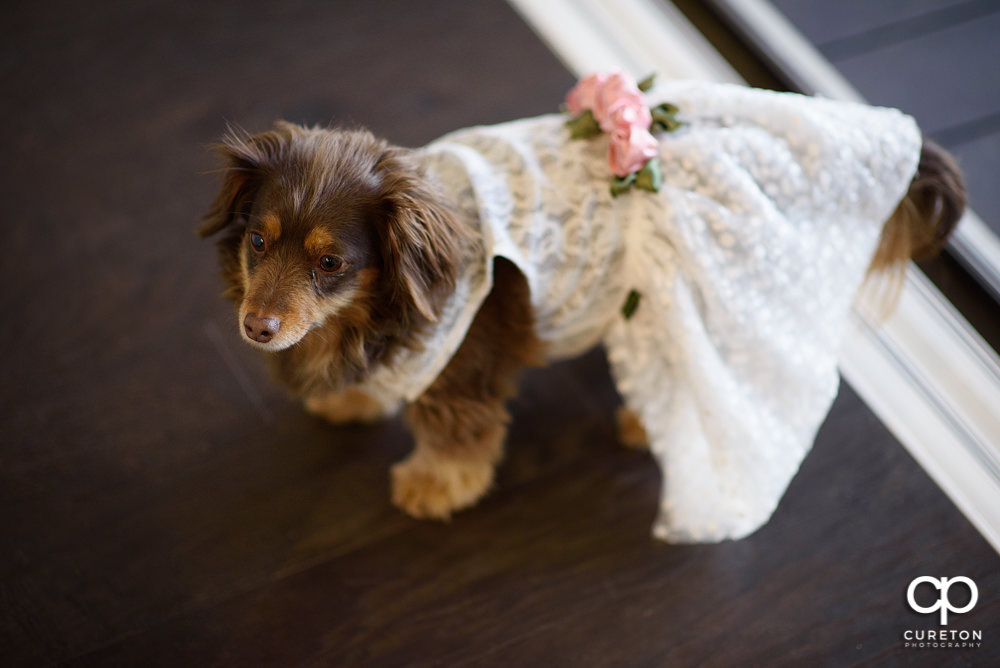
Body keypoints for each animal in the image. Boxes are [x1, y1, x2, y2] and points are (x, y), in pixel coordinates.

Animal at [201, 75, 960, 540]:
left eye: (331, 263)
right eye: (259, 241)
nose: (257, 328)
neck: (381, 308)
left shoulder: (461, 372)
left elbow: (456, 440)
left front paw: (435, 487)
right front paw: (352, 400)